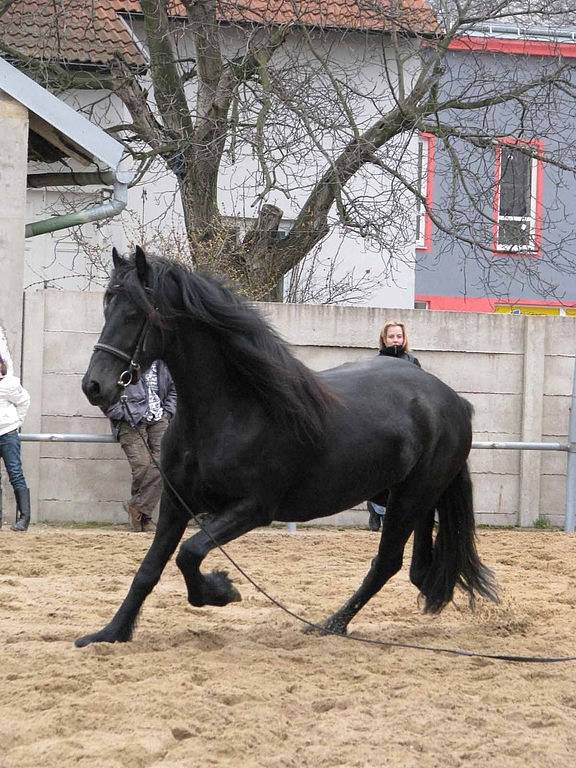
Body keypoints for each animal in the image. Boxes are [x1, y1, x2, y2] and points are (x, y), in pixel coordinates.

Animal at [75, 249, 500, 644]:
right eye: (108, 304)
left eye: (136, 313)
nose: (94, 386)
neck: (235, 410)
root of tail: (451, 399)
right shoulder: (177, 503)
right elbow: (149, 569)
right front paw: (109, 633)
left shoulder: (253, 508)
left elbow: (190, 553)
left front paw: (222, 590)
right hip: (410, 497)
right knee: (416, 568)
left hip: (410, 498)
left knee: (387, 563)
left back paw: (330, 624)